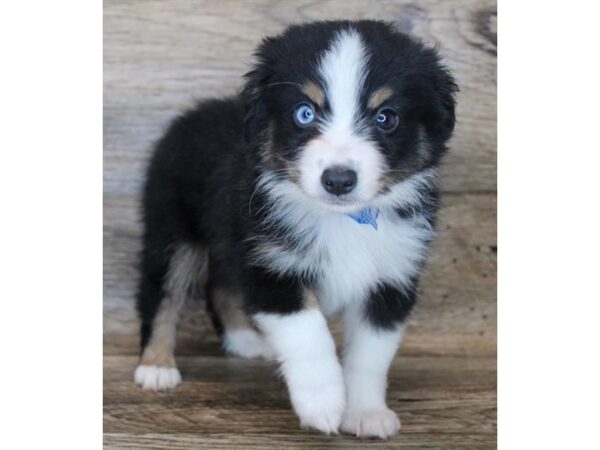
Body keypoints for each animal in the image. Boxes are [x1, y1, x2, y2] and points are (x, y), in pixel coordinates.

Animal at [134, 19, 458, 438]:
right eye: (305, 113)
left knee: (222, 285)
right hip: (173, 227)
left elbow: (370, 355)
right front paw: (323, 405)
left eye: (386, 117)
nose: (338, 180)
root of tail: (191, 114)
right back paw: (156, 367)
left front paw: (366, 413)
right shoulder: (273, 266)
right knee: (163, 294)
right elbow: (309, 335)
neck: (343, 218)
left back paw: (244, 339)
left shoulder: (391, 277)